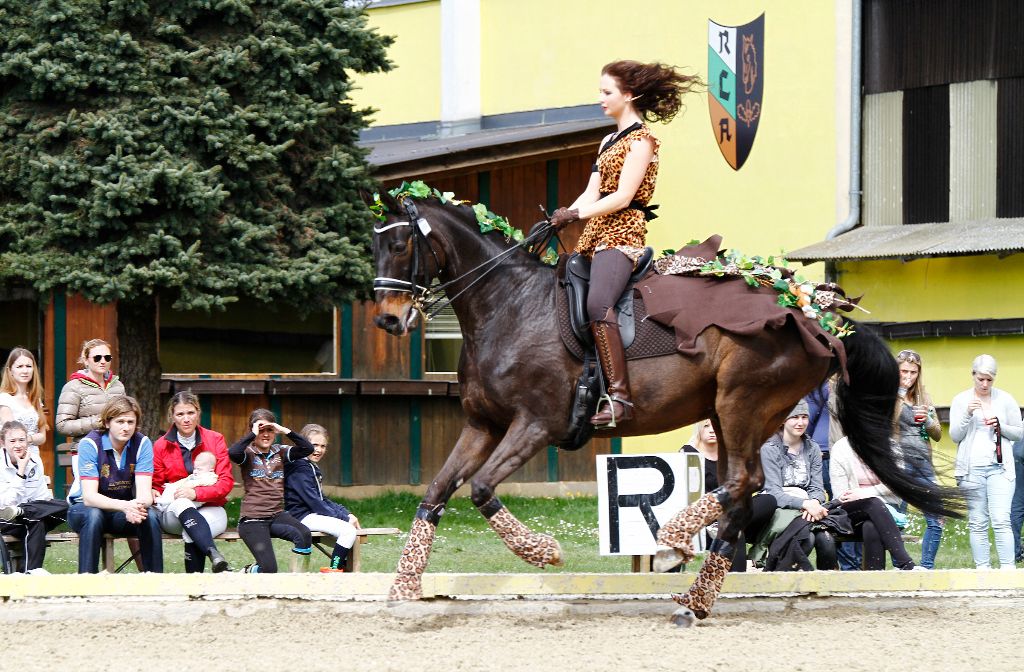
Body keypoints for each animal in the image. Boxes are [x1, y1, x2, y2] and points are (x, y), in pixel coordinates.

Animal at [372, 190, 954, 622]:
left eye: (401, 244)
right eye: (375, 247)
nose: (387, 320)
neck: (508, 307)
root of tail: (816, 318)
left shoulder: (536, 424)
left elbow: (481, 488)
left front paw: (543, 551)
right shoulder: (482, 425)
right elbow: (437, 492)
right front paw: (403, 586)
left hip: (742, 403)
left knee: (740, 483)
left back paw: (675, 545)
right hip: (736, 413)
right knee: (744, 490)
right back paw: (694, 596)